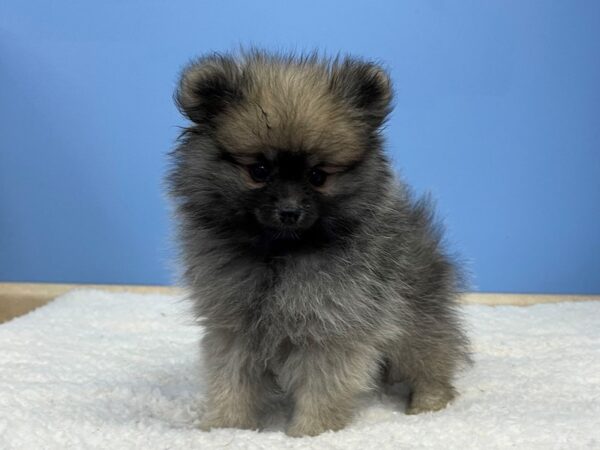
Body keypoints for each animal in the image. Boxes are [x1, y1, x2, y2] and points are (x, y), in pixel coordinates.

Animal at [166, 51, 472, 438]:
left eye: (318, 176)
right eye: (259, 170)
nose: (289, 211)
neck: (279, 254)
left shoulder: (330, 328)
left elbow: (321, 386)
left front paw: (311, 431)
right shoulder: (232, 327)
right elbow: (231, 381)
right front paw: (226, 427)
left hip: (416, 317)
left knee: (432, 357)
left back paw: (428, 403)